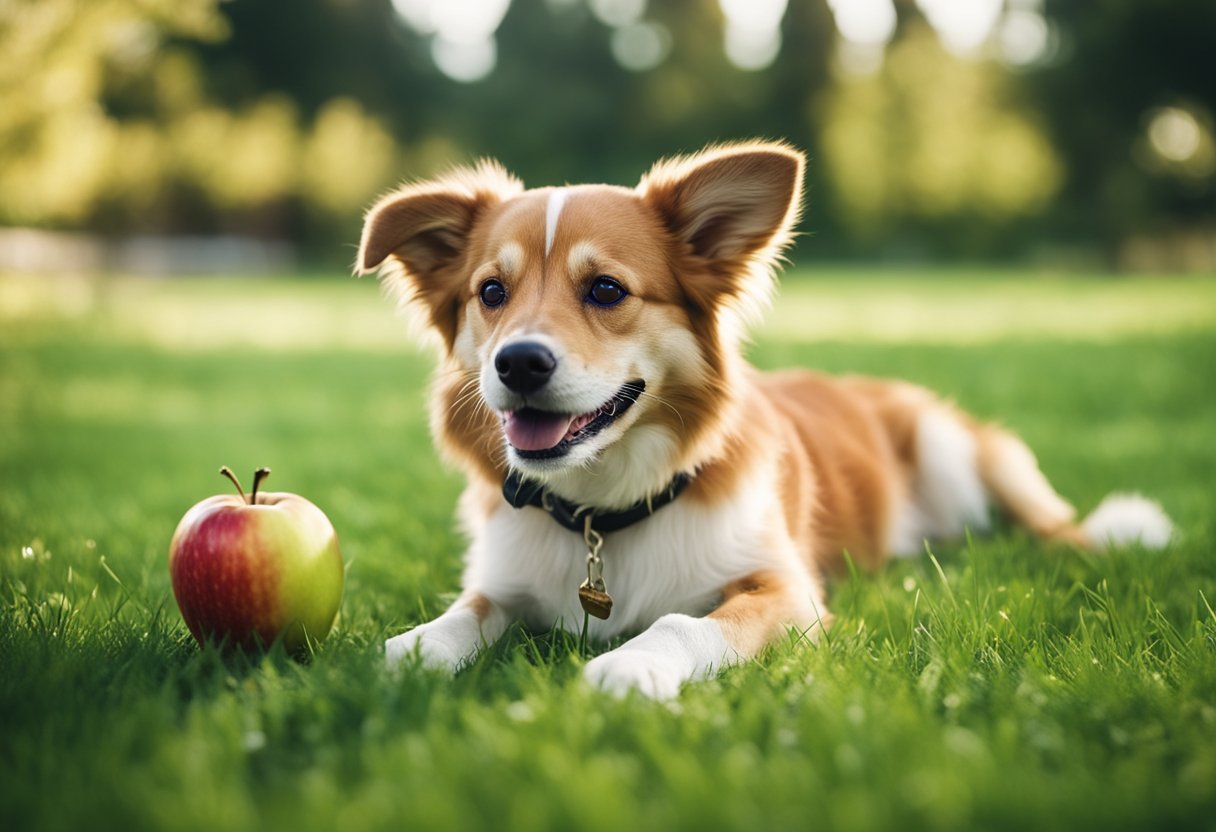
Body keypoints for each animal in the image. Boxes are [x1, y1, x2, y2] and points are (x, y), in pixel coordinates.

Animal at [355, 139, 1172, 700]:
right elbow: (454, 621)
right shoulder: (505, 581)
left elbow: (683, 624)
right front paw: (410, 654)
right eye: (492, 292)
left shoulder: (787, 595)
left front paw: (630, 666)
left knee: (1053, 531)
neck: (603, 513)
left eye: (607, 289)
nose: (518, 363)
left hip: (954, 449)